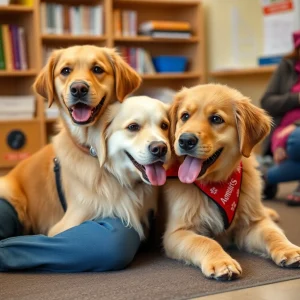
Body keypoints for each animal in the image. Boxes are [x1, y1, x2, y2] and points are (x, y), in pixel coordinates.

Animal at [163, 84, 300, 282]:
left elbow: (272, 233)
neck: (215, 184)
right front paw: (222, 262)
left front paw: (289, 249)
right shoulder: (176, 233)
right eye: (185, 116)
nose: (185, 140)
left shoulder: (250, 225)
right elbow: (205, 241)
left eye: (216, 119)